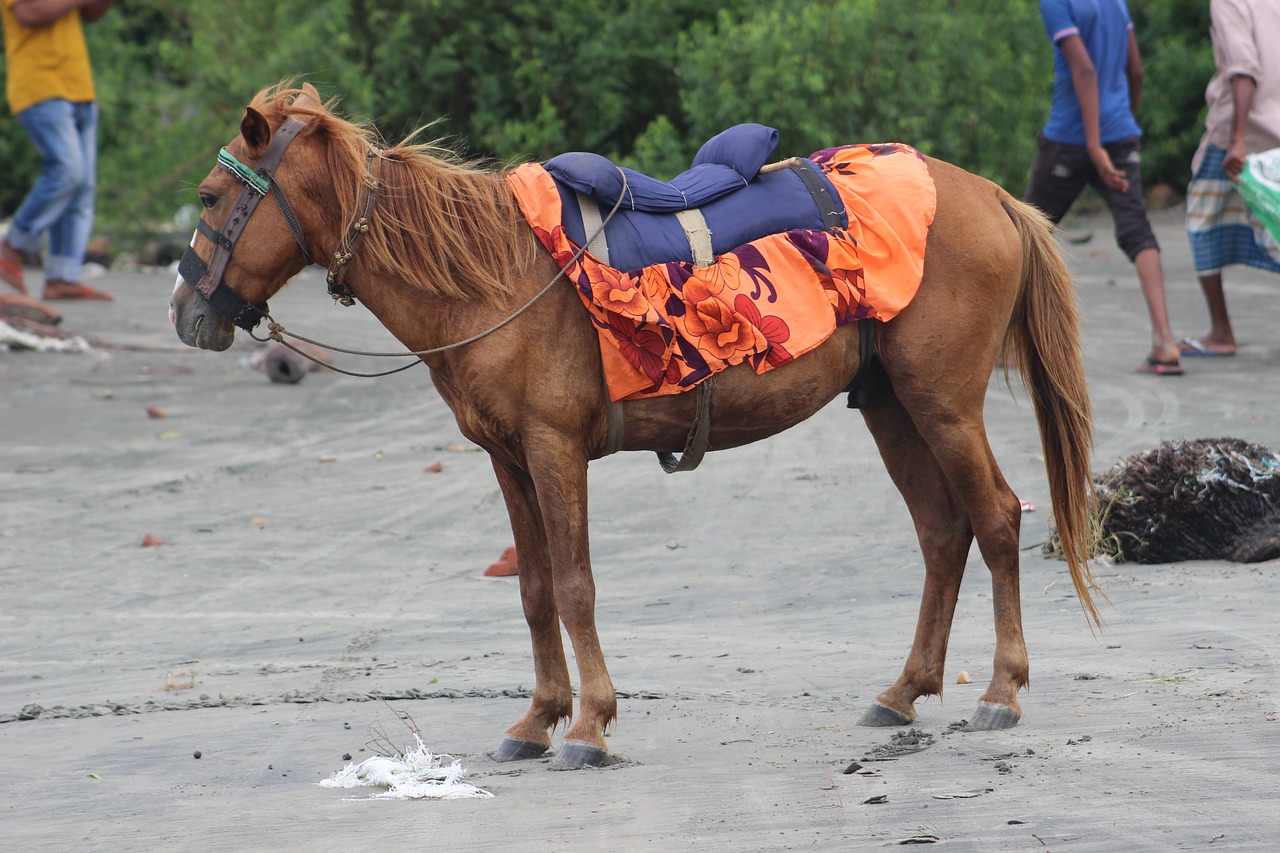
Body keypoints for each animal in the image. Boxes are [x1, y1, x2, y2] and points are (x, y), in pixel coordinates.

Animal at [167, 83, 1100, 768]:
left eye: (211, 196)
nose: (184, 311)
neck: (494, 278)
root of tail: (988, 195)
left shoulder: (553, 449)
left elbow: (576, 585)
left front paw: (588, 725)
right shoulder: (507, 457)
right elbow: (536, 589)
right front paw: (537, 718)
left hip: (943, 405)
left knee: (997, 520)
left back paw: (1001, 692)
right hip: (892, 407)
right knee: (944, 533)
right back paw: (903, 690)